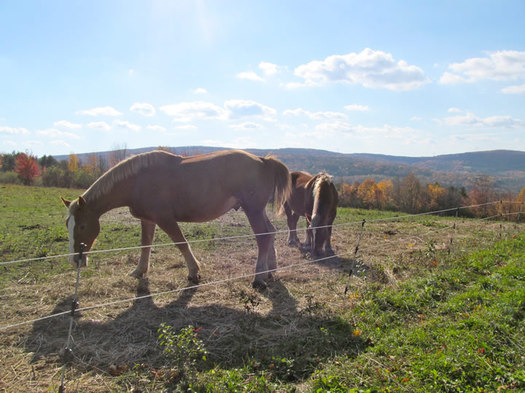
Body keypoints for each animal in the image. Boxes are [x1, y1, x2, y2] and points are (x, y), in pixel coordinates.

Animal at [62, 149, 290, 288]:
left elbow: (181, 243)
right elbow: (145, 245)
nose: (75, 260)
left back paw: (259, 277)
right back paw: (270, 270)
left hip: (253, 210)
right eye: (68, 225)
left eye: (82, 226)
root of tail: (263, 161)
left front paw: (194, 272)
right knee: (271, 232)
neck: (138, 180)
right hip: (258, 210)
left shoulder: (165, 219)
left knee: (263, 237)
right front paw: (139, 271)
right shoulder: (148, 219)